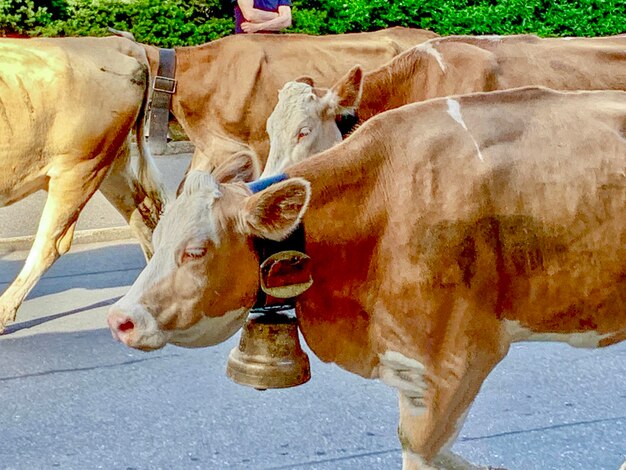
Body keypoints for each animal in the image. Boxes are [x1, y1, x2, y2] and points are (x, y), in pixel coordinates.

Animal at [0, 35, 167, 330]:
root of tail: (111, 41)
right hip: (112, 164)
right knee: (142, 214)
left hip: (81, 168)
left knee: (51, 243)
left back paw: (3, 311)